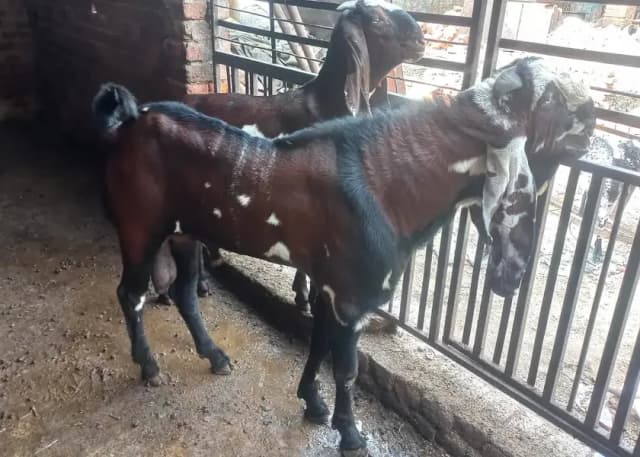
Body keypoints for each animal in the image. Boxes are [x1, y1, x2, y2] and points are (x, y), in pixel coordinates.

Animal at [93, 56, 595, 456]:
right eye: (554, 102)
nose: (592, 117)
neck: (389, 187)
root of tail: (132, 119)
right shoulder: (354, 296)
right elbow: (347, 367)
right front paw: (351, 435)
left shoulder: (327, 284)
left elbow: (318, 343)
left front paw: (313, 405)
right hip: (140, 229)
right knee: (130, 294)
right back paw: (150, 367)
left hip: (185, 234)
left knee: (183, 293)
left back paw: (215, 357)